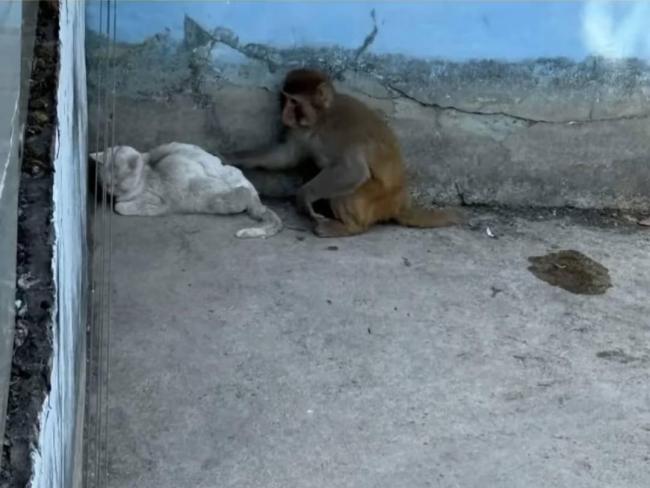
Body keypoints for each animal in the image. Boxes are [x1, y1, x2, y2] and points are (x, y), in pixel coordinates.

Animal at [90, 142, 280, 239]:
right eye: (103, 181)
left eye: (117, 183)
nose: (108, 191)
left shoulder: (158, 202)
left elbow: (119, 207)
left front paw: (119, 204)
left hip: (211, 197)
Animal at [228, 67, 460, 237]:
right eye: (284, 99)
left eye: (293, 102)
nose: (284, 116)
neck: (322, 119)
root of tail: (400, 203)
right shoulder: (302, 131)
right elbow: (286, 156)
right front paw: (233, 158)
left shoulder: (346, 130)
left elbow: (353, 171)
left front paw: (304, 197)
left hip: (378, 200)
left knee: (348, 189)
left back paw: (349, 227)